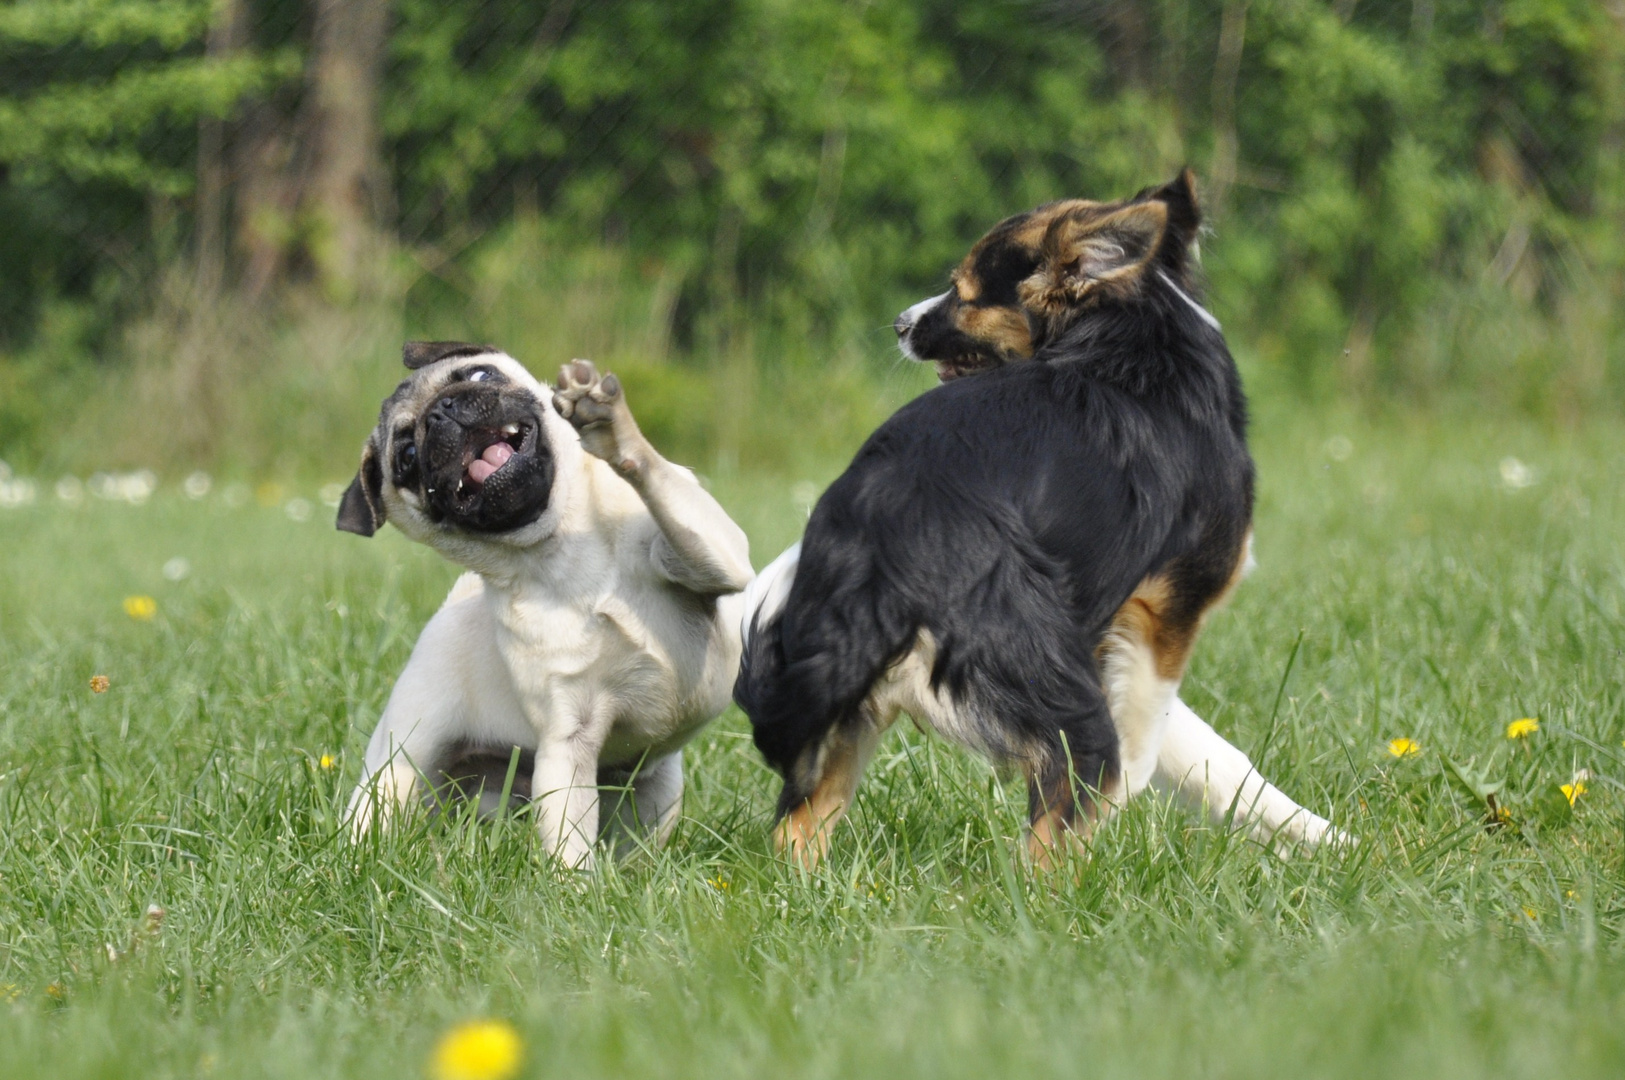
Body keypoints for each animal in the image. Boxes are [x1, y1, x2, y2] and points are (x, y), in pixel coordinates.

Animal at [741, 177, 1345, 870]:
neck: (1137, 323)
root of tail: (882, 545)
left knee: (799, 826)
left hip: (850, 711)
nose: (900, 324)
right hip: (1052, 688)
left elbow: (1206, 753)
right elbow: (1155, 736)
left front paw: (1328, 840)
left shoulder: (1107, 629)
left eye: (962, 292)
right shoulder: (1170, 605)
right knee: (1061, 822)